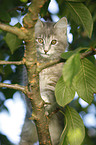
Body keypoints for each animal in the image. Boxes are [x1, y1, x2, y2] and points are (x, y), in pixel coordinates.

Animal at [19, 17, 67, 145]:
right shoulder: (27, 80)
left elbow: (49, 94)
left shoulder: (55, 82)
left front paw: (44, 100)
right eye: (40, 40)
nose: (45, 50)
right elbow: (28, 99)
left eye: (53, 42)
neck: (44, 65)